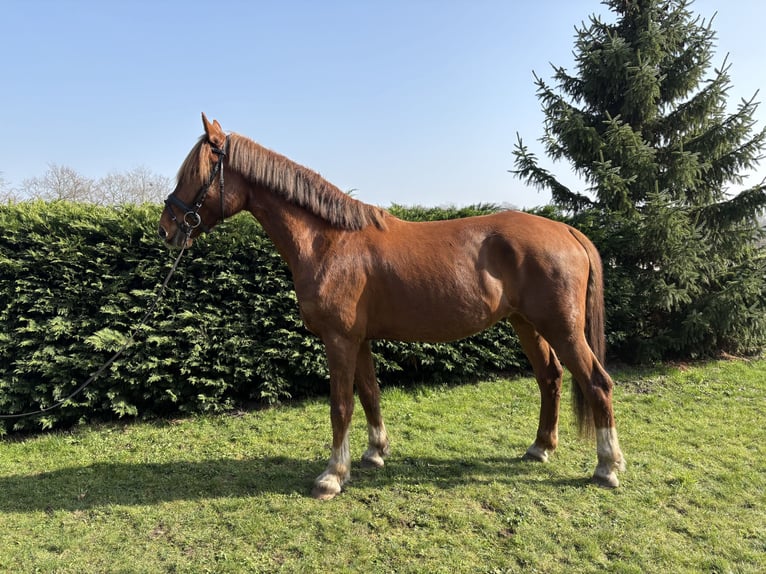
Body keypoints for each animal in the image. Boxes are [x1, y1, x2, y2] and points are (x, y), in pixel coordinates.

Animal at [158, 113, 626, 500]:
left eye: (195, 174)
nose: (166, 228)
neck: (329, 242)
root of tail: (567, 230)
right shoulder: (358, 339)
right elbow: (369, 393)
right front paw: (374, 453)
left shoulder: (339, 340)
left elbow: (341, 405)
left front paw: (332, 476)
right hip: (526, 323)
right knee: (550, 377)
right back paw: (540, 448)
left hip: (562, 327)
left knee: (597, 382)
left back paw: (606, 467)